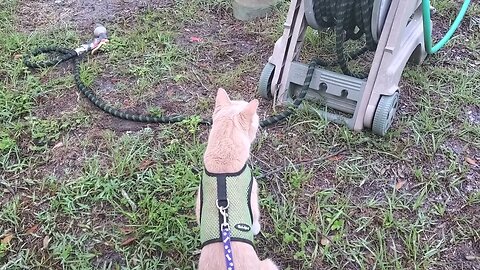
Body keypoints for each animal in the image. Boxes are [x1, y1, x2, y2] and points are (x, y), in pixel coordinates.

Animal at [194, 88, 278, 270]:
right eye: (256, 119)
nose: (260, 121)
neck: (223, 165)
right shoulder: (252, 197)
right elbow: (255, 221)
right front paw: (256, 229)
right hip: (270, 264)